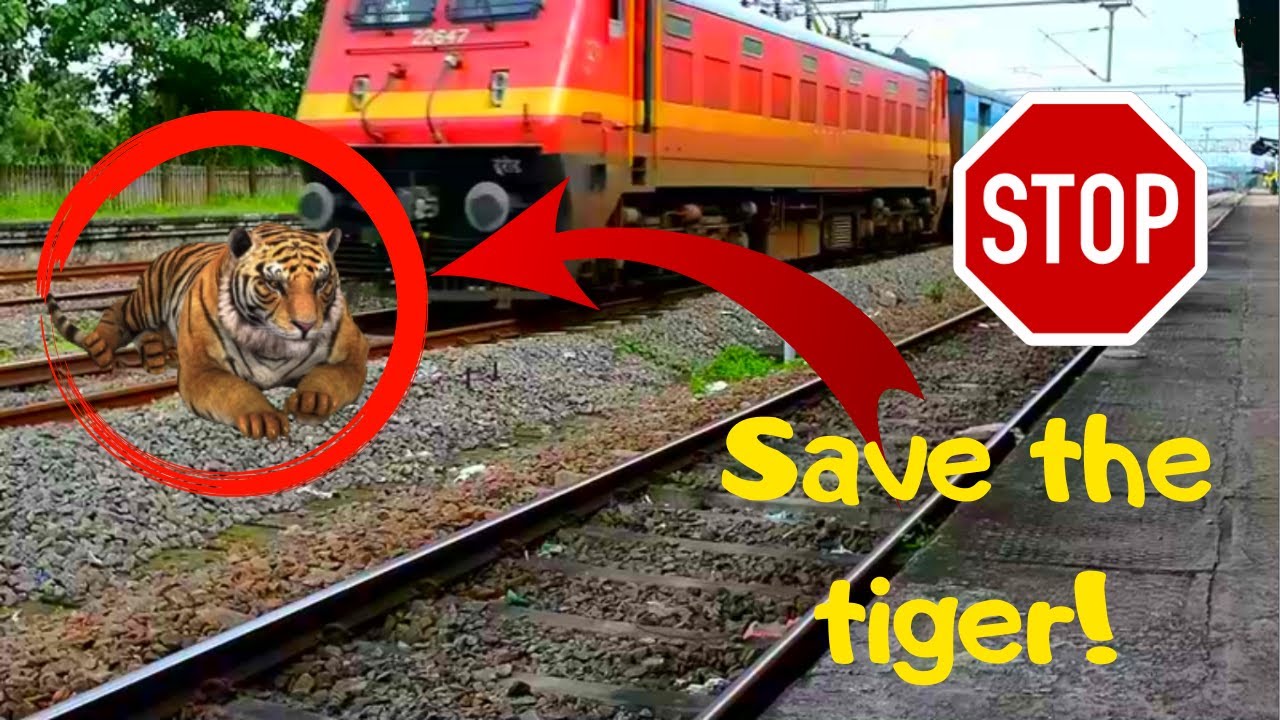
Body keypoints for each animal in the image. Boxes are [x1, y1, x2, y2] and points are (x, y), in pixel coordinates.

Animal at [45, 222, 370, 440]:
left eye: (321, 283)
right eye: (273, 284)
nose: (306, 325)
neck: (273, 346)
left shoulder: (354, 350)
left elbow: (330, 376)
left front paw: (311, 400)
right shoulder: (201, 369)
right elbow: (234, 389)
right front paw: (263, 417)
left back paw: (157, 355)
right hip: (145, 302)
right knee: (118, 309)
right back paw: (101, 348)